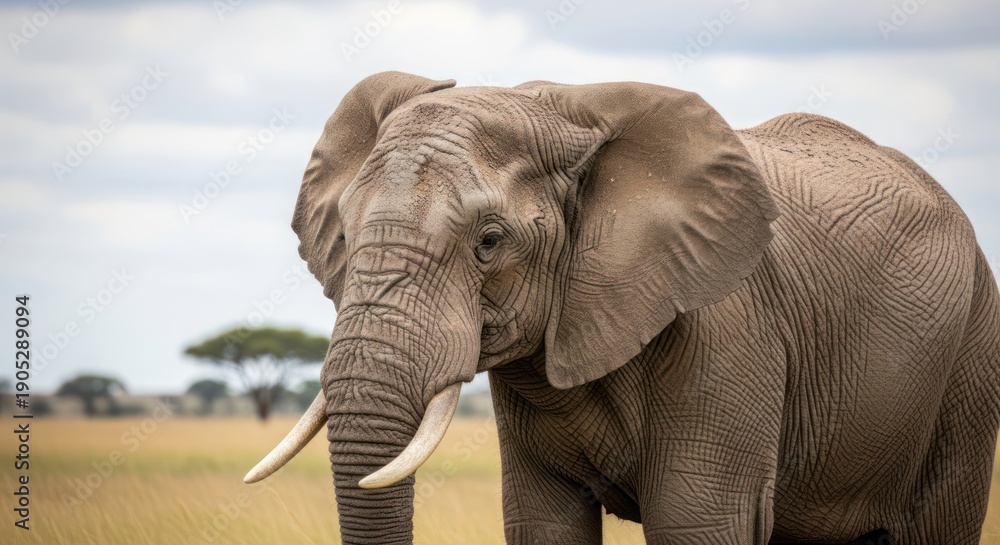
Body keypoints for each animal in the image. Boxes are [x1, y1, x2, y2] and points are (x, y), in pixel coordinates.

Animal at [244, 71, 1000, 544]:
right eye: (344, 236)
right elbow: (541, 522)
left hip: (971, 352)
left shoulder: (727, 330)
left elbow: (699, 522)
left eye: (489, 242)